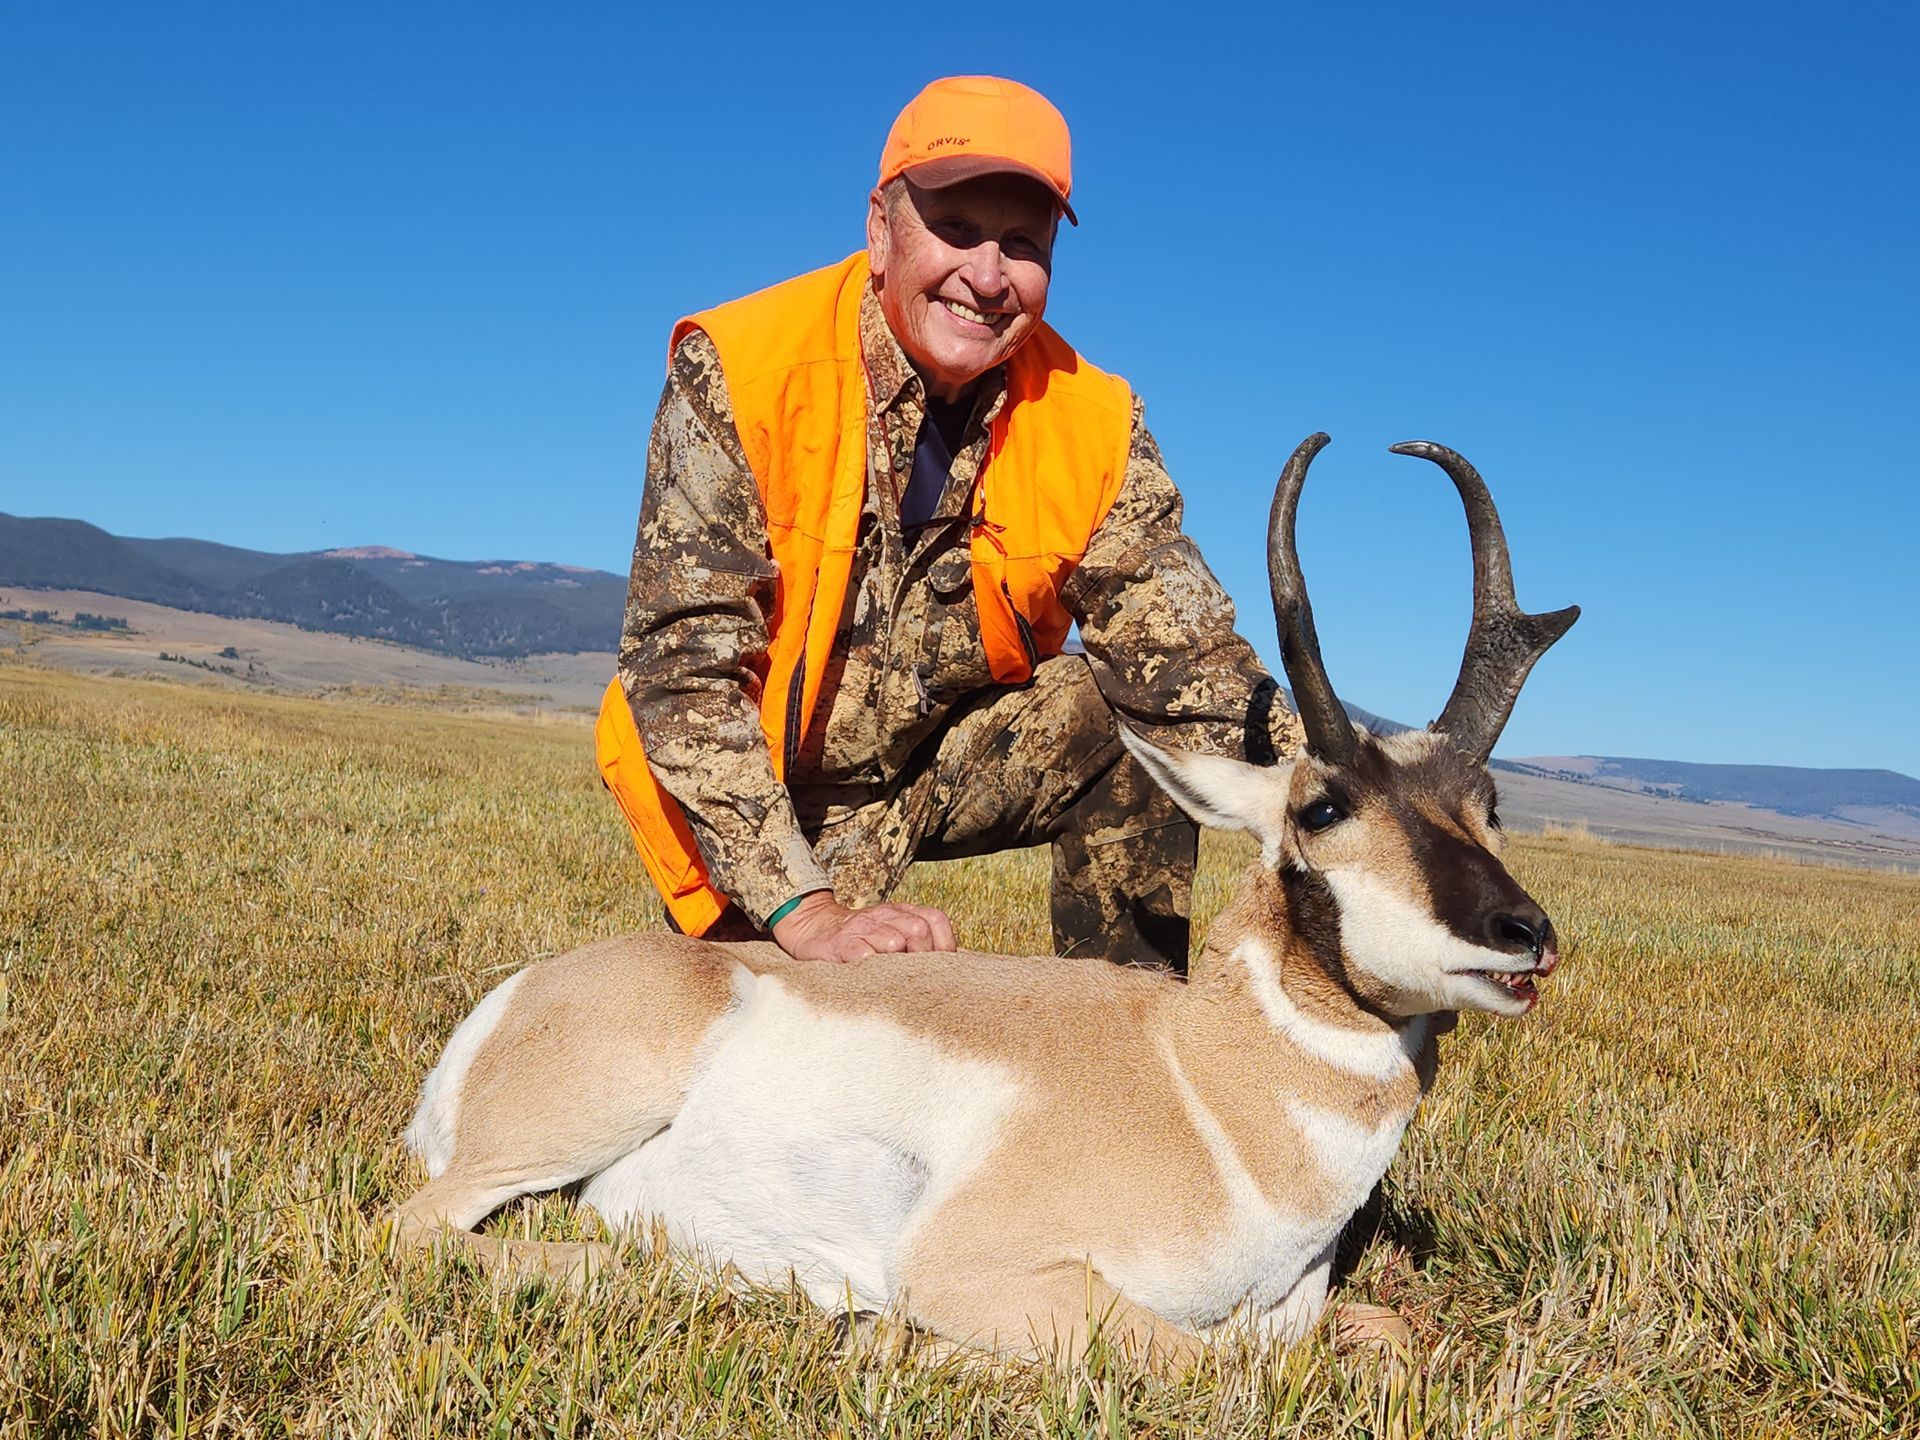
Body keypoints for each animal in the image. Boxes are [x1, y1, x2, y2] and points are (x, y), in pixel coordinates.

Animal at [397, 433, 1578, 1367]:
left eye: (1488, 801)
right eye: (1323, 807)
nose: (1525, 935)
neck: (1199, 1075)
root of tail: (521, 994)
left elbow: (1380, 1335)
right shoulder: (984, 1270)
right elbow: (1200, 1359)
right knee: (422, 1232)